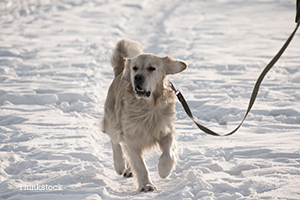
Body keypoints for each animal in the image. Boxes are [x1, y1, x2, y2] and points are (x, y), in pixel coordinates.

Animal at [103, 39, 188, 192]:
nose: (138, 77)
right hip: (113, 122)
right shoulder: (131, 137)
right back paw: (120, 165)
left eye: (151, 68)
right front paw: (146, 185)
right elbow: (140, 164)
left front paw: (164, 170)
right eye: (135, 68)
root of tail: (120, 72)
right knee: (114, 140)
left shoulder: (166, 130)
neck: (148, 108)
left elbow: (168, 153)